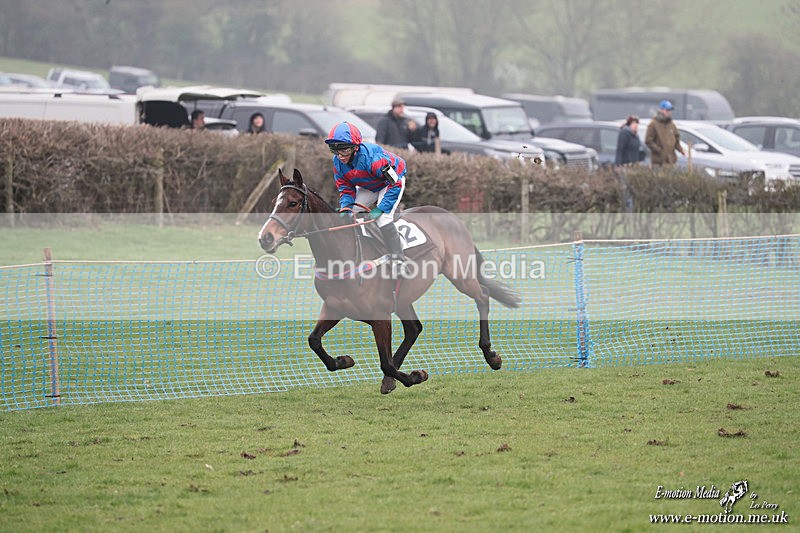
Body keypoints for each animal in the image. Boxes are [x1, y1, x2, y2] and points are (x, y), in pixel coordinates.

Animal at [258, 168, 521, 394]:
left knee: (483, 296)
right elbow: (314, 341)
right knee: (414, 329)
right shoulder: (334, 307)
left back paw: (491, 355)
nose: (265, 237)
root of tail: (452, 217)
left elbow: (385, 362)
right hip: (404, 297)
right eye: (273, 204)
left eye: (293, 203)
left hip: (460, 274)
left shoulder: (380, 315)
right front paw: (344, 360)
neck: (343, 254)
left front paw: (415, 376)